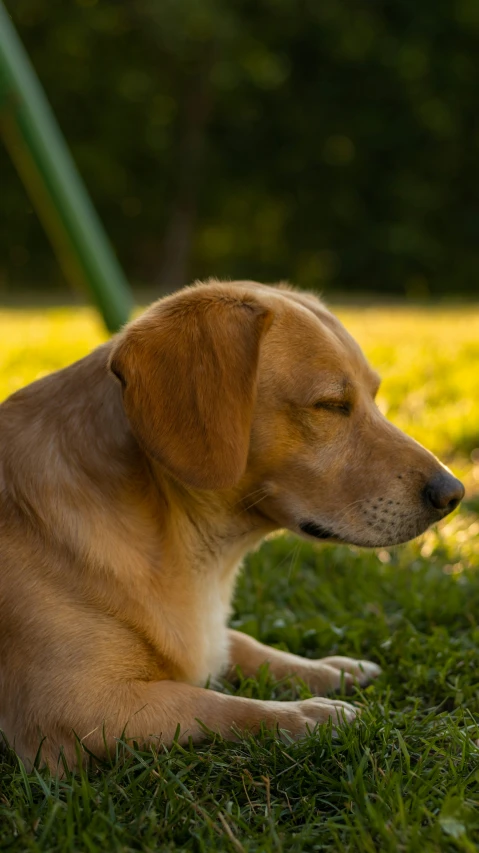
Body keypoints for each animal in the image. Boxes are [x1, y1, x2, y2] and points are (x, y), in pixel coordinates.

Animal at [0, 280, 464, 764]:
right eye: (331, 405)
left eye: (375, 396)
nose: (454, 493)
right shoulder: (72, 710)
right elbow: (211, 704)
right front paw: (307, 715)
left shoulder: (212, 640)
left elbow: (242, 644)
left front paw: (329, 669)